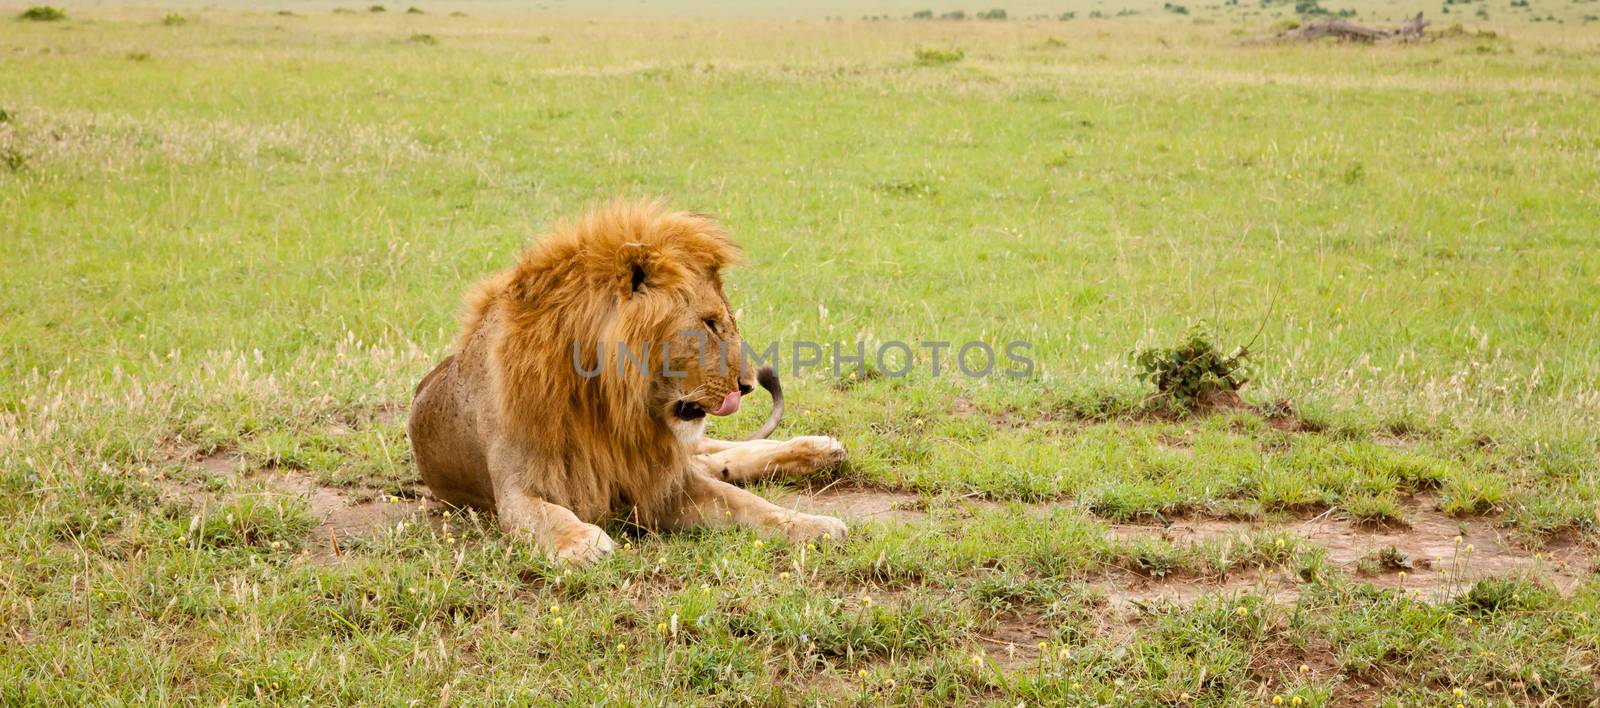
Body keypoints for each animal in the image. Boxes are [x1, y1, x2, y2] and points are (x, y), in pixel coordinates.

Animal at [406, 199, 844, 563]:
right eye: (709, 323)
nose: (748, 385)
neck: (608, 404)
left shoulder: (658, 477)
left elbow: (749, 506)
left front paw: (814, 526)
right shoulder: (516, 487)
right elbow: (544, 514)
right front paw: (580, 542)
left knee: (723, 453)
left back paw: (820, 449)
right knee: (717, 460)